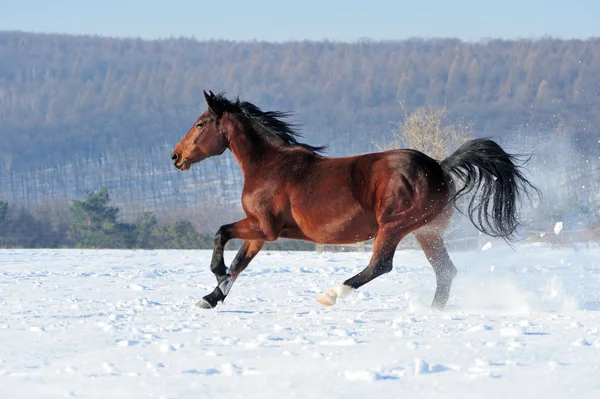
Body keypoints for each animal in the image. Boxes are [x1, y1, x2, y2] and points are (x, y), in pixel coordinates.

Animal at [170, 91, 540, 312]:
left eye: (201, 124)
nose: (175, 157)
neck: (269, 166)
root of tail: (439, 166)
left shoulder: (263, 227)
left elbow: (221, 235)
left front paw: (217, 277)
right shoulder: (259, 233)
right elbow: (239, 263)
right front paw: (211, 297)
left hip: (394, 225)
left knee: (381, 265)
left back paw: (332, 294)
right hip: (427, 232)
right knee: (446, 271)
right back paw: (433, 311)